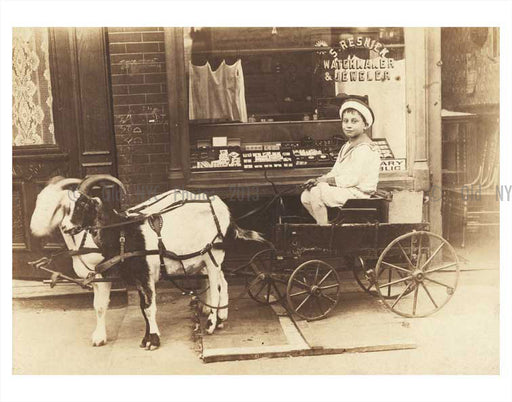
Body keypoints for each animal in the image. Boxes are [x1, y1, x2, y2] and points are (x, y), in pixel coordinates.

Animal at [30, 175, 266, 348]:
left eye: (83, 205)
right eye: (64, 208)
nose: (67, 226)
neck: (123, 232)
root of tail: (219, 204)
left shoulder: (143, 274)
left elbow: (149, 307)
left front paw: (153, 340)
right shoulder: (119, 277)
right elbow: (130, 307)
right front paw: (114, 338)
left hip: (212, 254)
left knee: (216, 285)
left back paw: (211, 323)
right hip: (203, 257)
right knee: (222, 281)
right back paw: (221, 317)